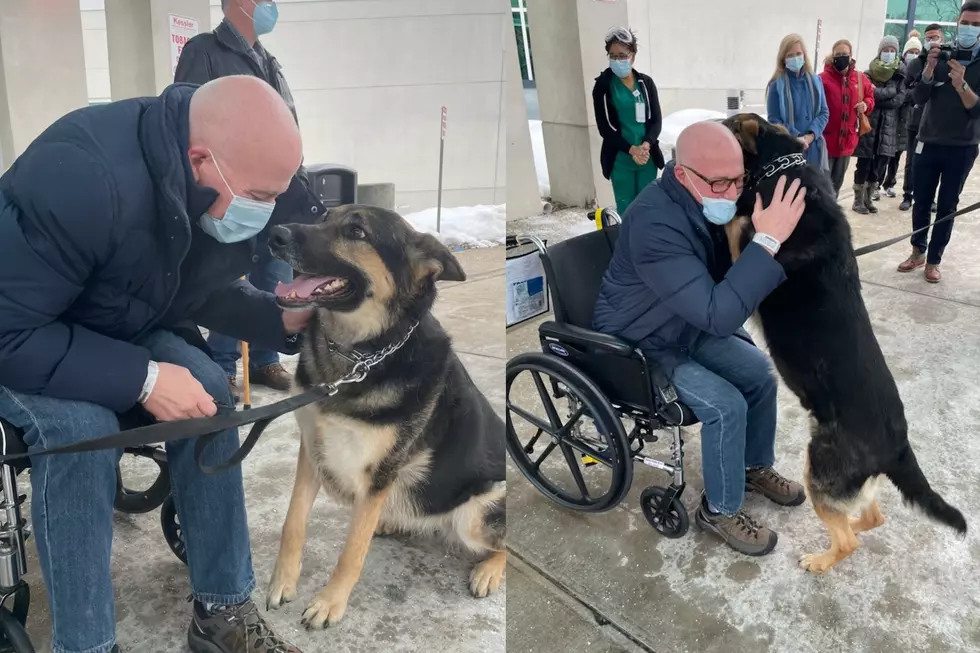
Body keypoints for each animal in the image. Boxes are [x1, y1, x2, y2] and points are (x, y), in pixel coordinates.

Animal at [264, 206, 506, 628]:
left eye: (356, 231)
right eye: (324, 216)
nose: (274, 235)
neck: (359, 356)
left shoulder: (378, 474)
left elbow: (351, 551)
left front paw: (330, 602)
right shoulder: (312, 451)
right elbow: (292, 522)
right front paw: (283, 581)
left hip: (476, 513)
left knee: (503, 544)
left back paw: (488, 570)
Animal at [720, 116, 964, 572]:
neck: (783, 163)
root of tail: (898, 447)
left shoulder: (746, 252)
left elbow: (735, 225)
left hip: (818, 467)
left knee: (849, 538)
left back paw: (820, 561)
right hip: (840, 478)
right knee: (871, 517)